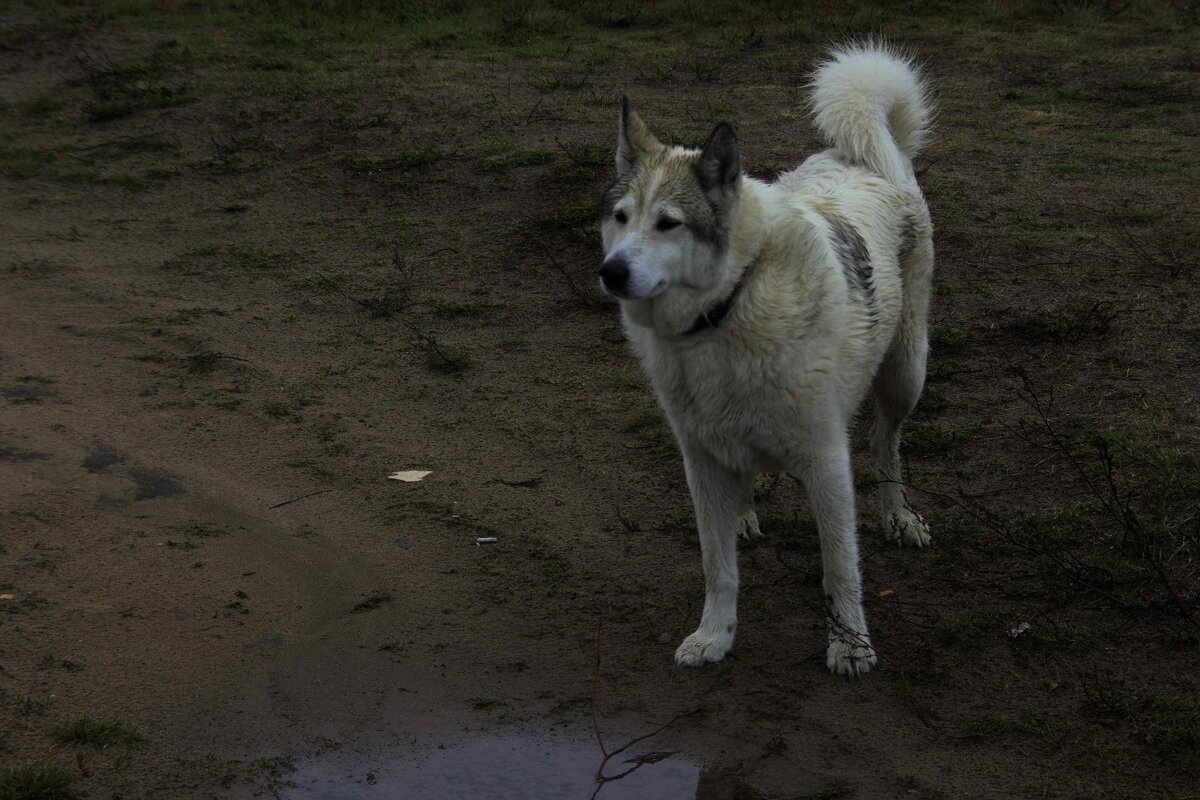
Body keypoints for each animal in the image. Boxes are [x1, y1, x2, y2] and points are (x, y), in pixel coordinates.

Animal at [600, 43, 936, 681]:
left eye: (669, 223)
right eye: (621, 217)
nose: (611, 272)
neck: (726, 310)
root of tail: (870, 153)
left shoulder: (827, 461)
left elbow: (840, 568)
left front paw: (850, 645)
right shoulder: (701, 459)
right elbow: (717, 566)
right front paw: (714, 636)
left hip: (907, 373)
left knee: (885, 444)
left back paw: (899, 516)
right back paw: (745, 514)